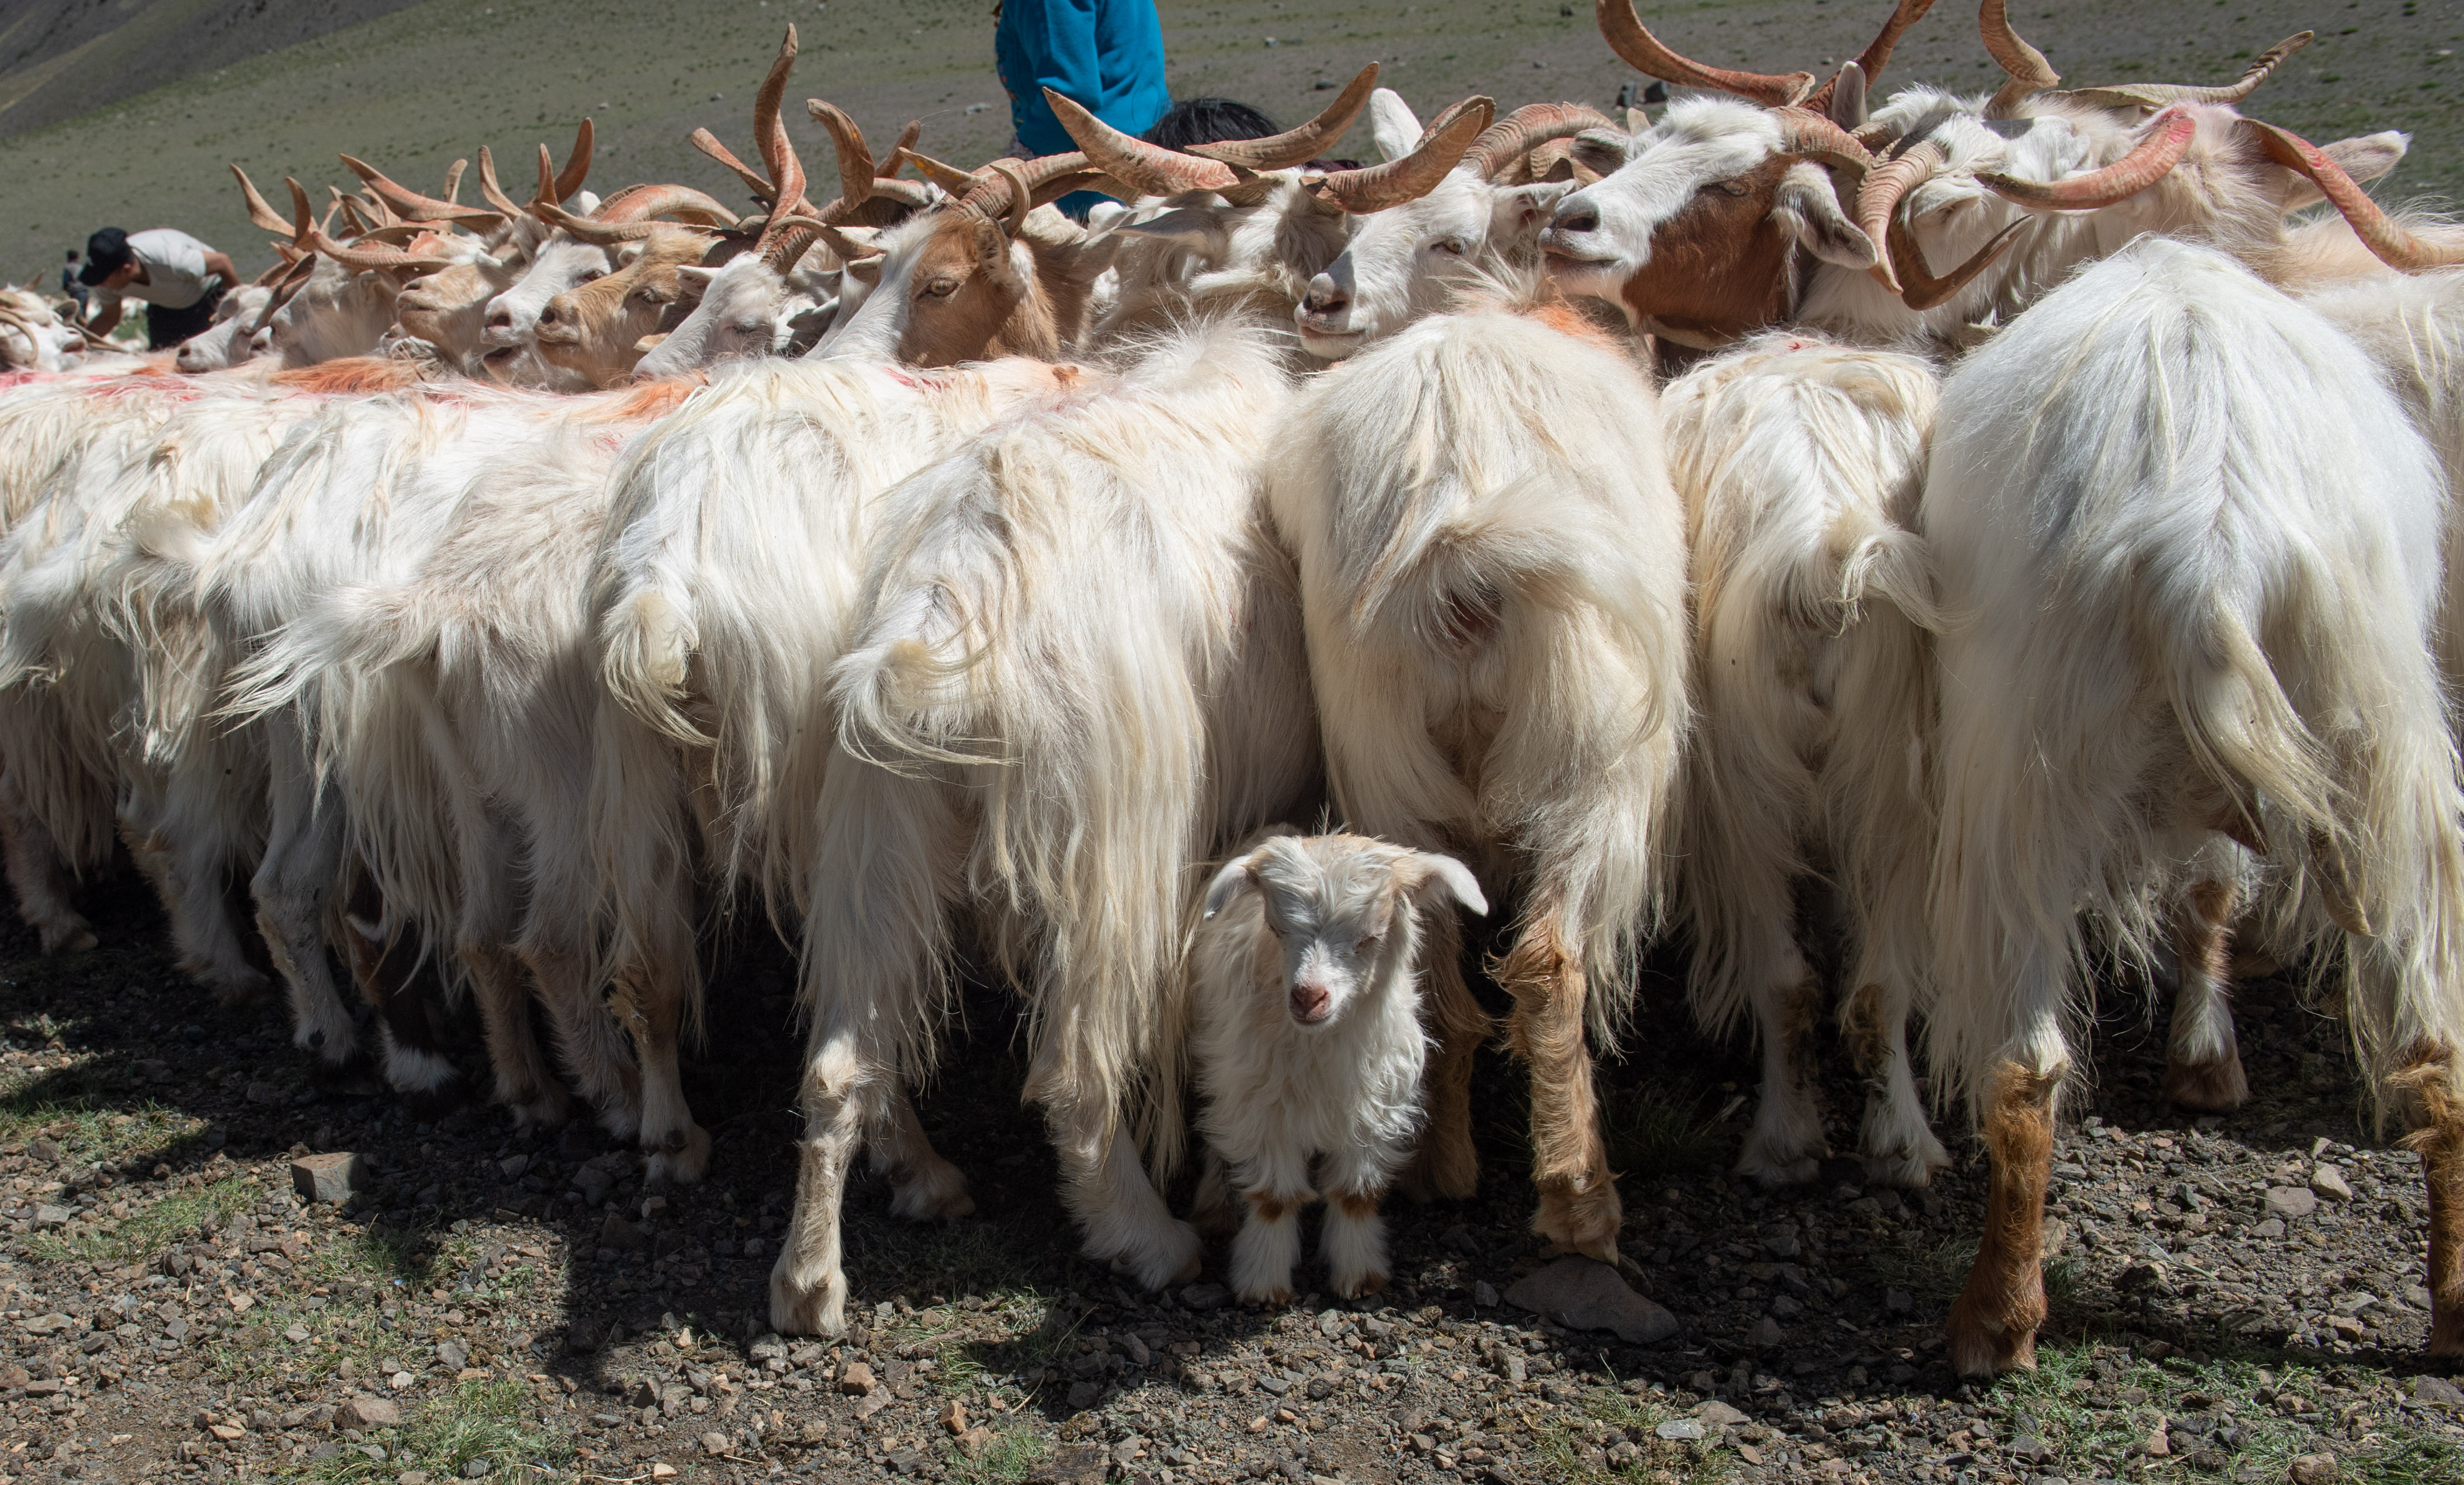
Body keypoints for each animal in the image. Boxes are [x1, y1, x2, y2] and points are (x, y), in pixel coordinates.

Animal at [1187, 832, 1478, 1310]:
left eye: (1372, 937)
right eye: (1277, 928)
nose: (1308, 997)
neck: (1318, 1045)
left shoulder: (1373, 1106)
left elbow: (1355, 1193)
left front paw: (1359, 1275)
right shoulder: (1263, 1105)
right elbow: (1274, 1197)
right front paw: (1264, 1282)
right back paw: (1216, 1206)